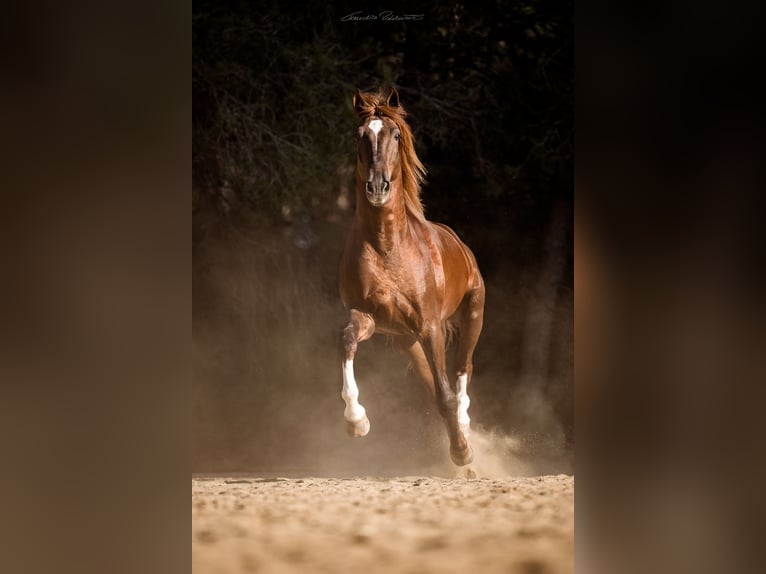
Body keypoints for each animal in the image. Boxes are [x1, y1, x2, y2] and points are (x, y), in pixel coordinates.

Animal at [338, 86, 486, 468]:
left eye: (394, 135)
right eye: (359, 135)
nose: (377, 187)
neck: (388, 247)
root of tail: (459, 244)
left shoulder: (430, 325)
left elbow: (448, 393)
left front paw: (462, 452)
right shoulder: (369, 317)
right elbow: (347, 341)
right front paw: (356, 421)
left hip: (472, 314)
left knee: (463, 369)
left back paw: (465, 428)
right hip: (407, 340)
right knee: (433, 384)